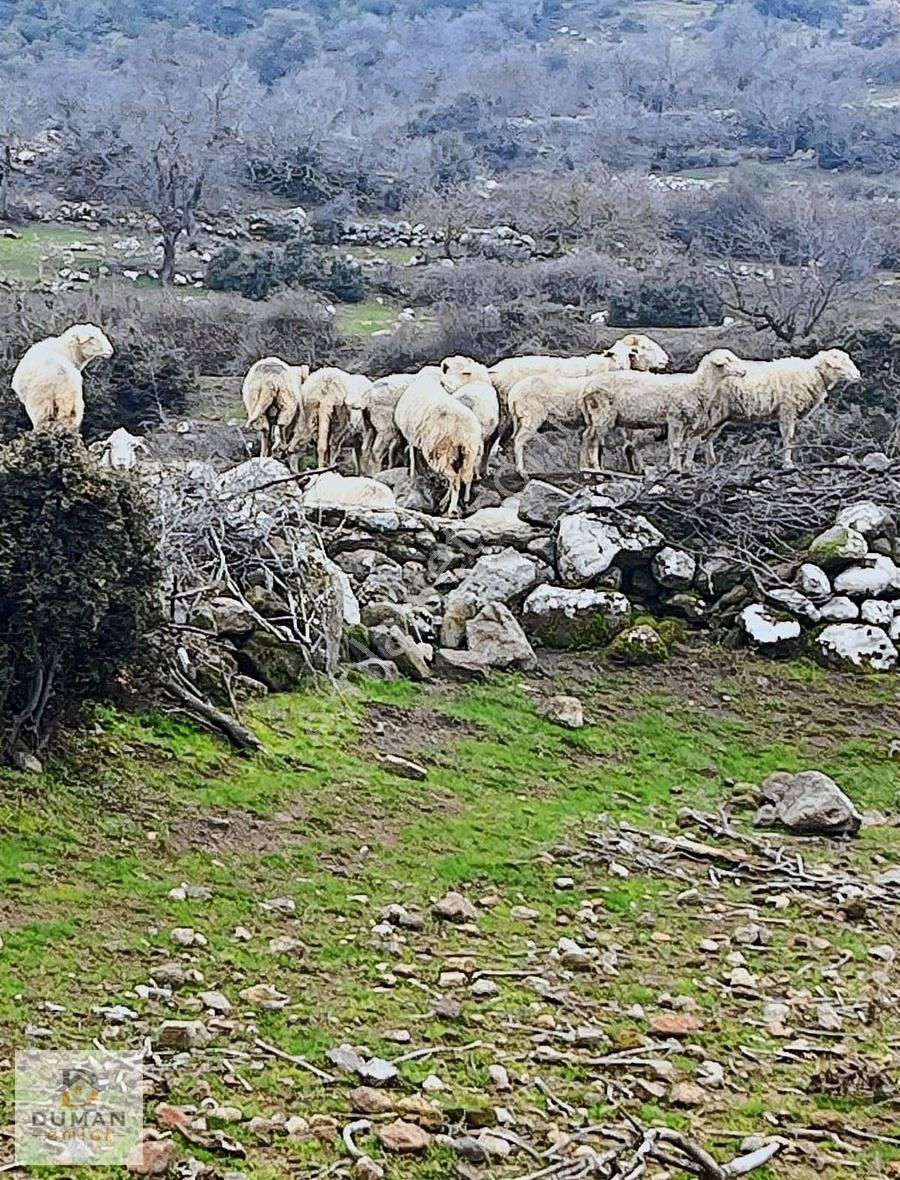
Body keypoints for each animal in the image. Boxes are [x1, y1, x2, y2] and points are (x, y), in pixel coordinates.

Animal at [393, 368, 485, 516]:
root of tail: (461, 427)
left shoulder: (411, 437)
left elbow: (412, 458)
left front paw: (412, 476)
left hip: (440, 451)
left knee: (454, 479)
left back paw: (451, 509)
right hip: (468, 453)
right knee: (465, 476)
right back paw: (460, 500)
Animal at [580, 346, 750, 471]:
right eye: (728, 360)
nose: (744, 372)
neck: (696, 385)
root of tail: (587, 388)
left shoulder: (683, 422)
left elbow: (679, 446)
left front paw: (676, 467)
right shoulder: (675, 418)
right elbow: (675, 446)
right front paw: (675, 469)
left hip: (597, 414)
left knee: (586, 436)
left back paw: (586, 465)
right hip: (602, 412)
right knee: (592, 439)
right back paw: (594, 467)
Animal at [693, 346, 863, 467]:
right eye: (840, 365)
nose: (858, 376)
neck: (814, 373)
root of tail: (699, 373)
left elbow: (792, 438)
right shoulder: (787, 410)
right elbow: (788, 438)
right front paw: (787, 463)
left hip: (720, 416)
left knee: (707, 440)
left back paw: (711, 464)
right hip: (712, 413)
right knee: (697, 438)